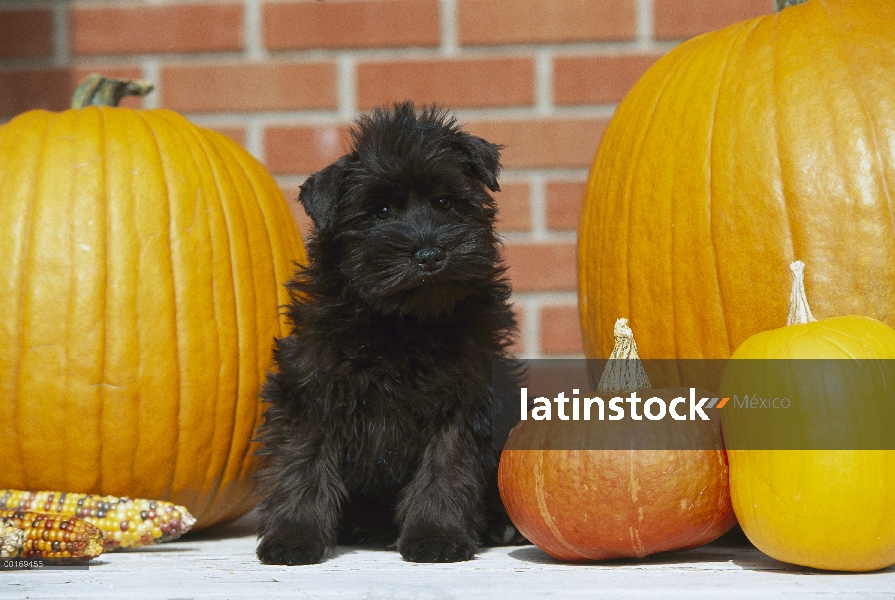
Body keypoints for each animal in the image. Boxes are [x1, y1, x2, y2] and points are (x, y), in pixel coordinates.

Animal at [256, 101, 520, 564]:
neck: (401, 323)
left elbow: (445, 469)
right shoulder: (309, 392)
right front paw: (293, 534)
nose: (429, 254)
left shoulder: (463, 399)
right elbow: (302, 466)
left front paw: (435, 533)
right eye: (379, 212)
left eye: (445, 201)